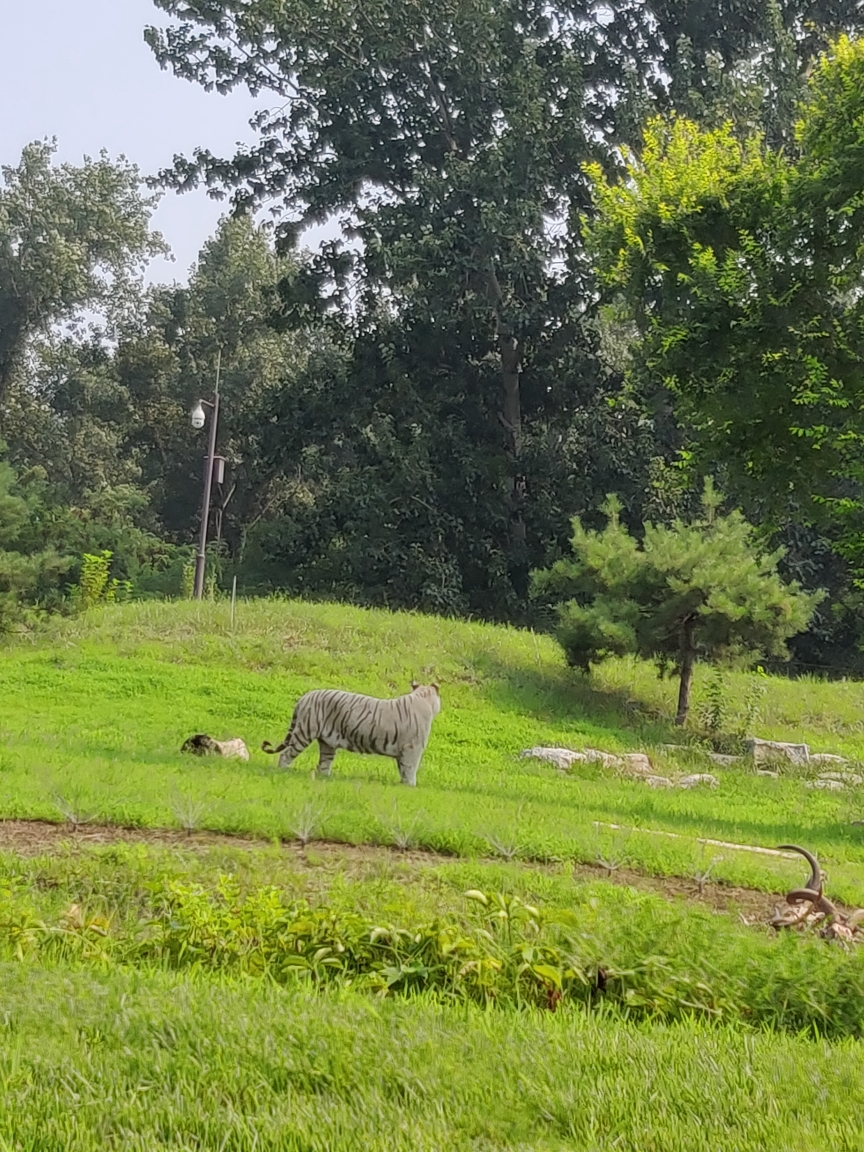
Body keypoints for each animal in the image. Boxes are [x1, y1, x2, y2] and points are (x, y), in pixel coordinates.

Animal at [260, 677, 442, 787]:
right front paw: (411, 786)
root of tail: (305, 696)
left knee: (323, 765)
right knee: (286, 754)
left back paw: (327, 778)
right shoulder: (413, 749)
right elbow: (411, 769)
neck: (423, 697)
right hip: (304, 733)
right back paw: (283, 771)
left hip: (327, 744)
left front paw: (403, 784)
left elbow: (403, 770)